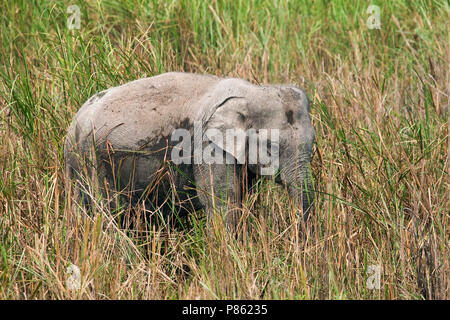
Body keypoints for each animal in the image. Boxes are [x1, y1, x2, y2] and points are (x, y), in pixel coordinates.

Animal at [64, 71, 316, 234]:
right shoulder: (207, 147)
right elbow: (223, 202)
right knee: (110, 216)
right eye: (270, 146)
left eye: (313, 143)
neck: (255, 90)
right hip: (92, 162)